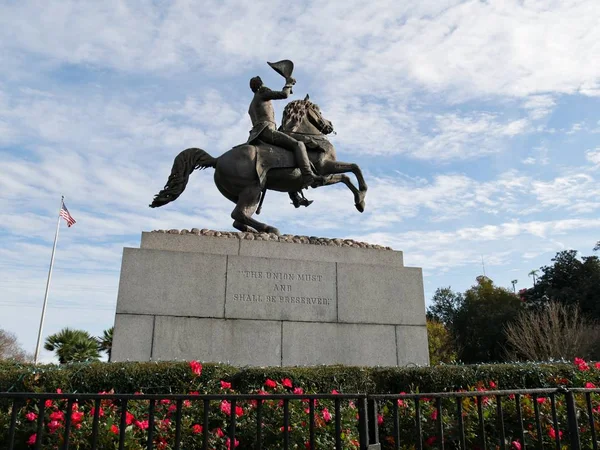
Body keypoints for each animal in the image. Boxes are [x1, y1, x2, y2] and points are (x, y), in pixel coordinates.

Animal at [150, 96, 366, 236]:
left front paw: (360, 202)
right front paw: (362, 197)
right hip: (252, 189)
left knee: (238, 218)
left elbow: (347, 176)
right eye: (318, 110)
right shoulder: (324, 168)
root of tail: (218, 159)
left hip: (244, 194)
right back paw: (269, 228)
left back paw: (254, 230)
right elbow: (354, 168)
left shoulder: (325, 176)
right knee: (238, 214)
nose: (329, 125)